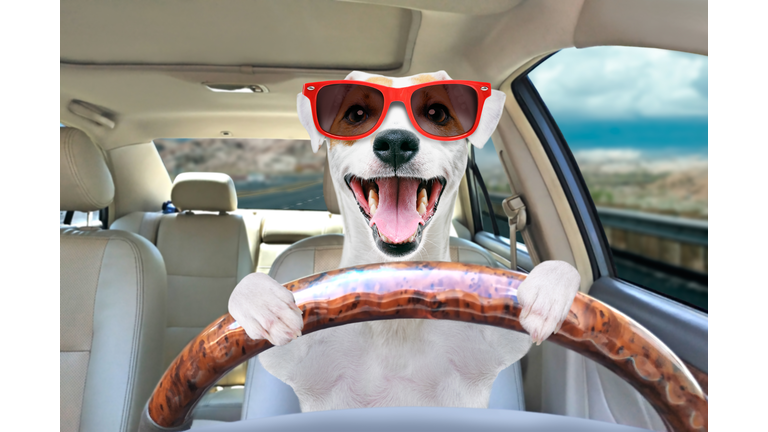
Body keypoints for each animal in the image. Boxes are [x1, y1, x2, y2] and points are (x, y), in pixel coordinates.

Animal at [231, 71, 580, 412]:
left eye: (437, 113)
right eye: (357, 114)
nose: (396, 142)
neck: (395, 281)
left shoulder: (497, 343)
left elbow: (565, 268)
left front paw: (547, 294)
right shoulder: (293, 358)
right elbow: (243, 290)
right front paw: (264, 304)